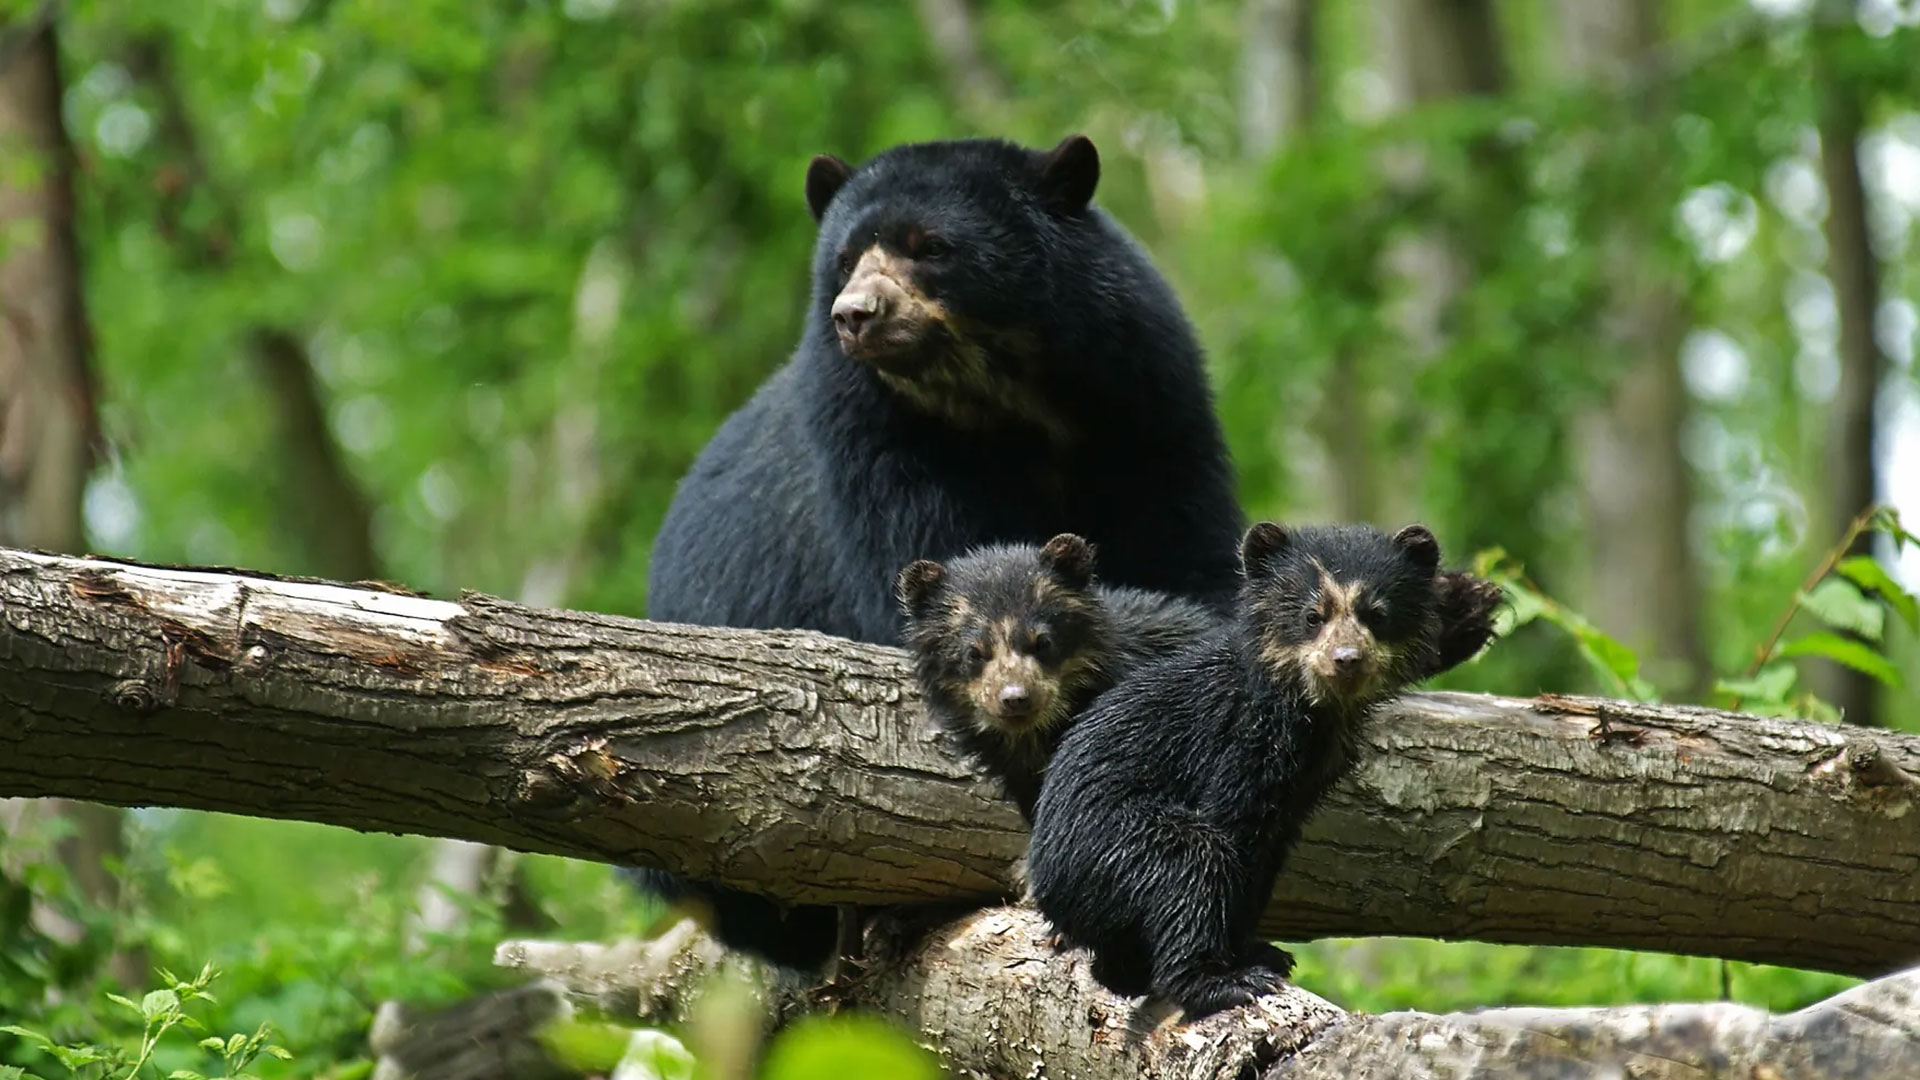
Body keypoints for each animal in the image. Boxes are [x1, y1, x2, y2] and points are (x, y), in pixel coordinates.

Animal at [1025, 522, 1502, 1019]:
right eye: (1313, 615)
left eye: (1376, 614)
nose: (1347, 659)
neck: (1311, 707)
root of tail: (1049, 889)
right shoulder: (1245, 741)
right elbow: (1234, 827)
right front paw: (1239, 961)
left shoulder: (1306, 782)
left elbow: (1269, 853)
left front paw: (1258, 948)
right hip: (1110, 846)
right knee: (1191, 861)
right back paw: (1215, 982)